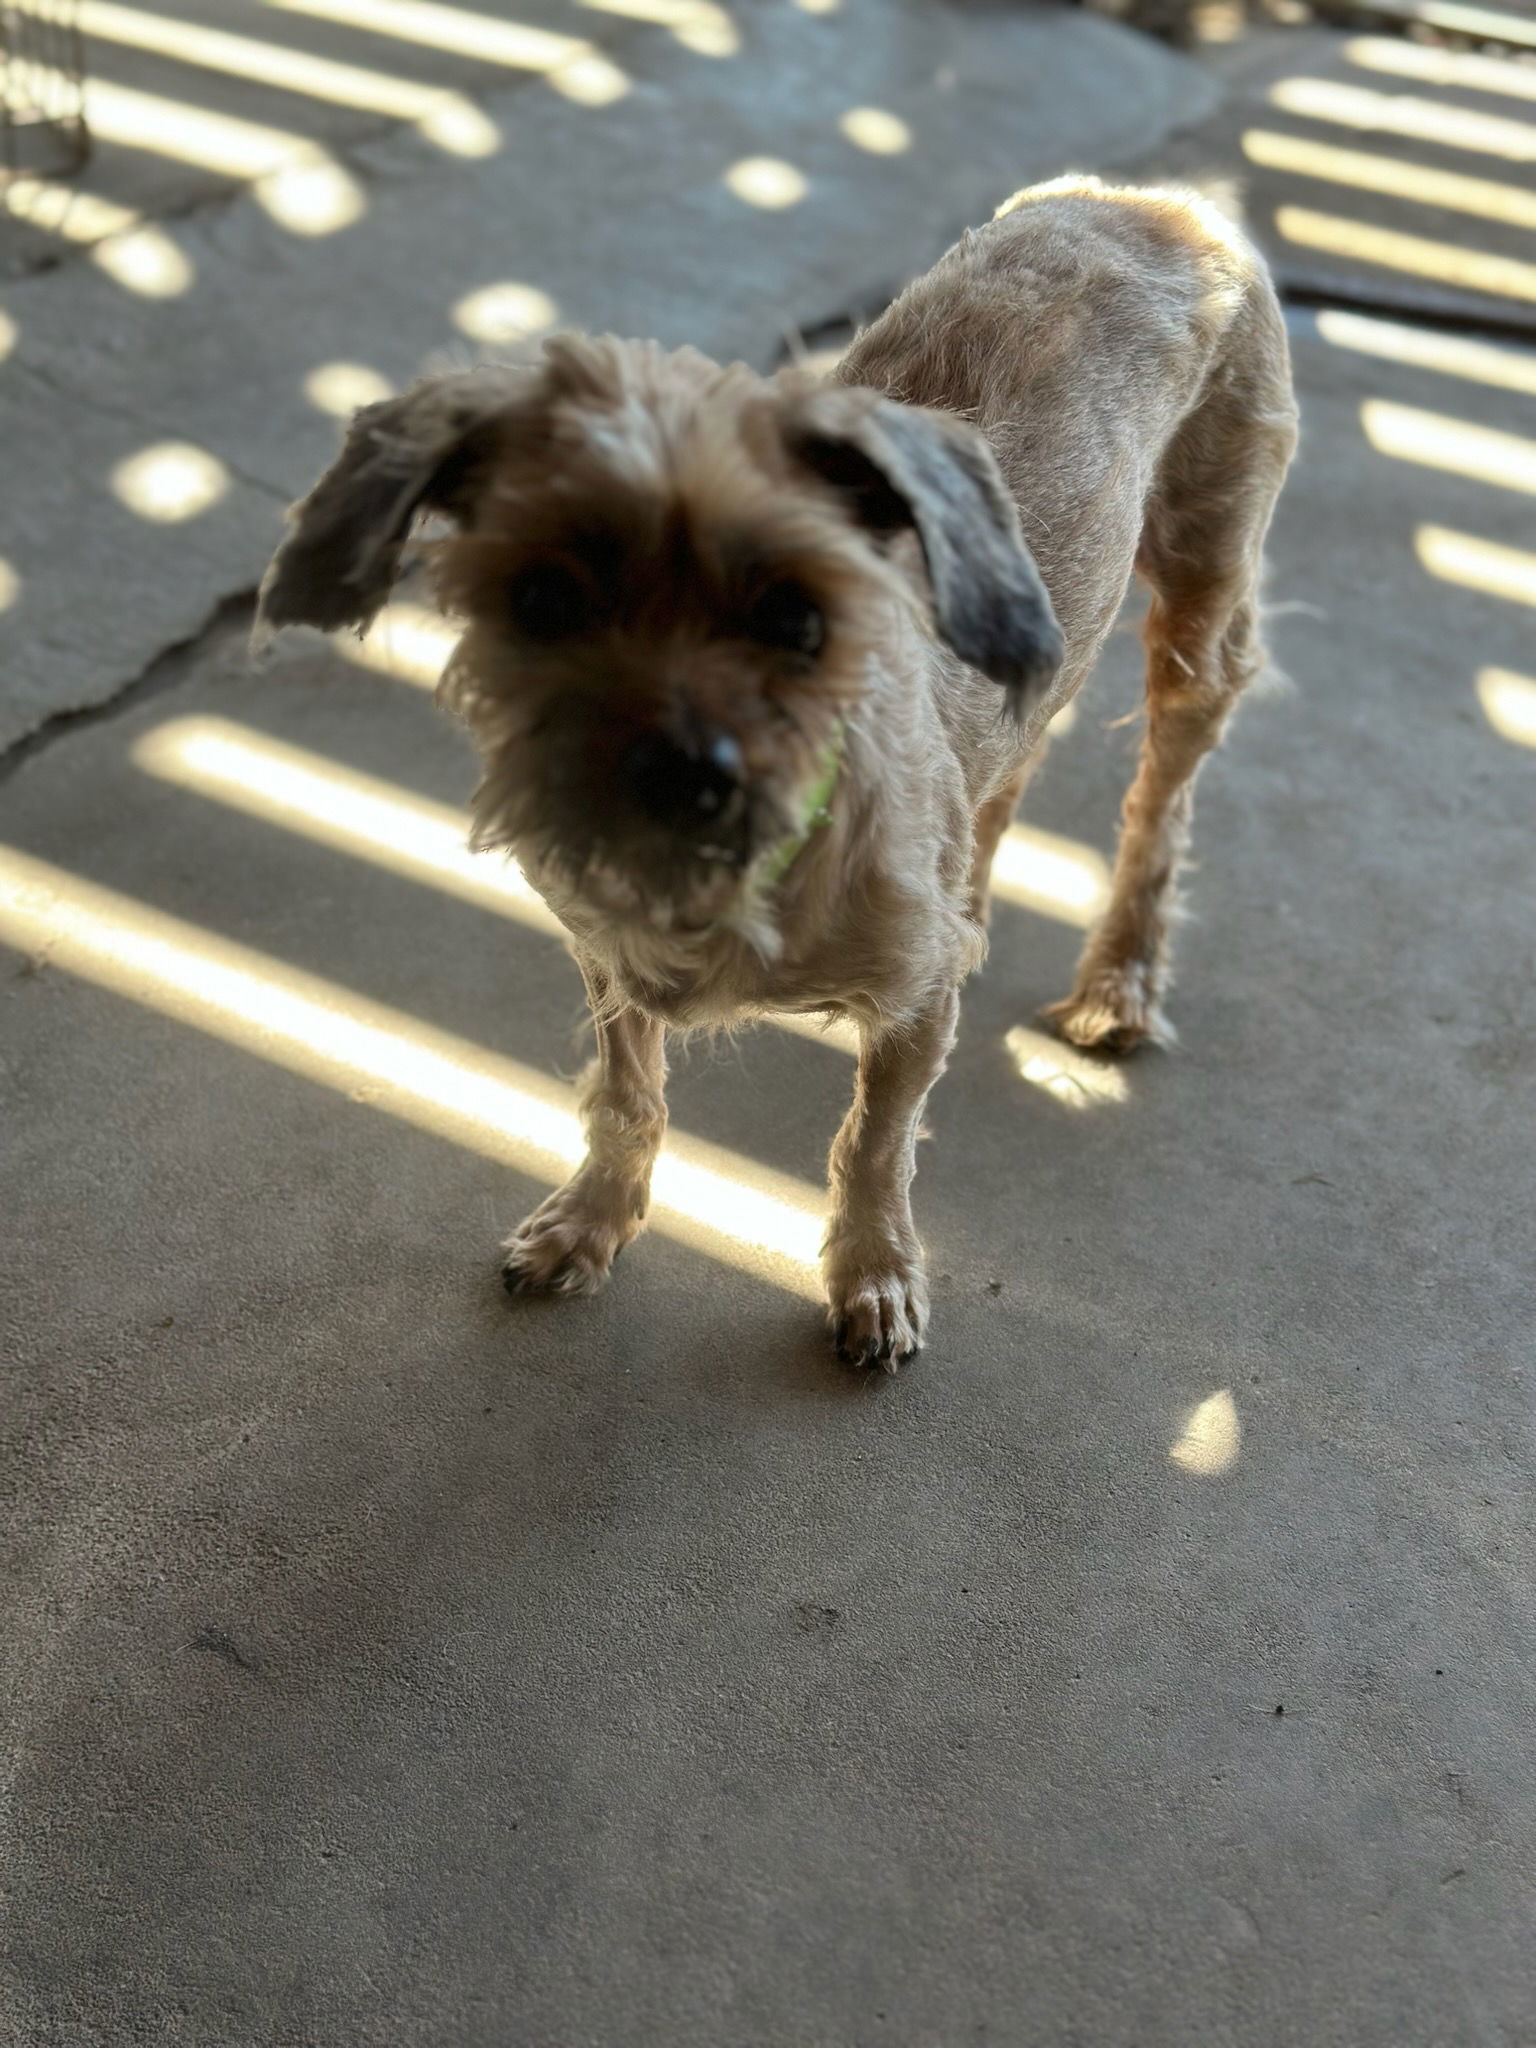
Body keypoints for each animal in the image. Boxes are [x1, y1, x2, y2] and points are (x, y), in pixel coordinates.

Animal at [259, 172, 1294, 1359]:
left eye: (798, 618)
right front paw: (592, 1219)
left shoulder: (912, 1003)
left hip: (1203, 601)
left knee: (1158, 803)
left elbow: (876, 1141)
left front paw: (874, 1273)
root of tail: (1154, 198)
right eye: (543, 600)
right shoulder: (607, 956)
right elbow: (627, 1092)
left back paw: (1119, 977)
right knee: (1012, 769)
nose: (673, 772)